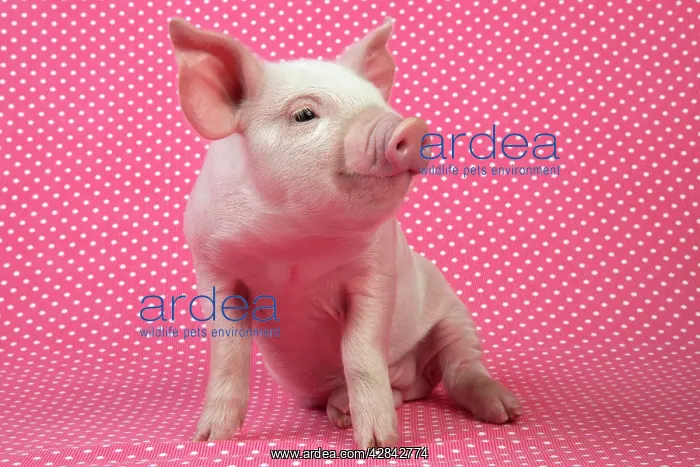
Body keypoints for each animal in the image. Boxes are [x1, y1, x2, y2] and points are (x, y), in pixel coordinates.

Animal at [167, 17, 523, 448]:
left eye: (379, 103)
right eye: (304, 114)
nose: (411, 125)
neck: (293, 247)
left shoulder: (377, 272)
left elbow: (361, 353)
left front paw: (380, 444)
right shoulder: (213, 268)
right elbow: (228, 355)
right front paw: (208, 437)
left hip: (453, 313)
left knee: (461, 366)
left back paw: (507, 412)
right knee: (407, 387)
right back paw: (343, 410)